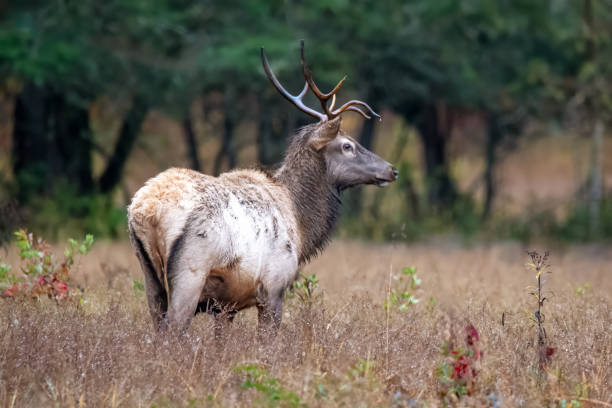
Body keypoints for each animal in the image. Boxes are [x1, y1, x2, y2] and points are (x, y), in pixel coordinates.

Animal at [126, 40, 400, 338]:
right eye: (347, 146)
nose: (391, 170)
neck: (301, 225)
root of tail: (147, 211)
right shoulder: (273, 287)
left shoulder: (226, 306)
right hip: (190, 272)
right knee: (171, 331)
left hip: (150, 277)